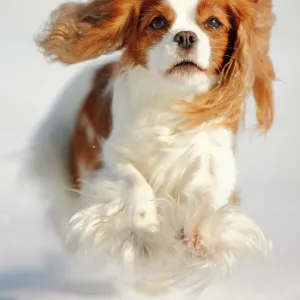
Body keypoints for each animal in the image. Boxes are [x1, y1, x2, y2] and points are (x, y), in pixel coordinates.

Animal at [28, 0, 276, 290]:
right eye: (158, 22)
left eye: (213, 22)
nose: (185, 36)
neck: (173, 100)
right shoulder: (110, 158)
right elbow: (135, 183)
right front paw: (145, 230)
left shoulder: (214, 157)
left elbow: (209, 190)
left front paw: (199, 232)